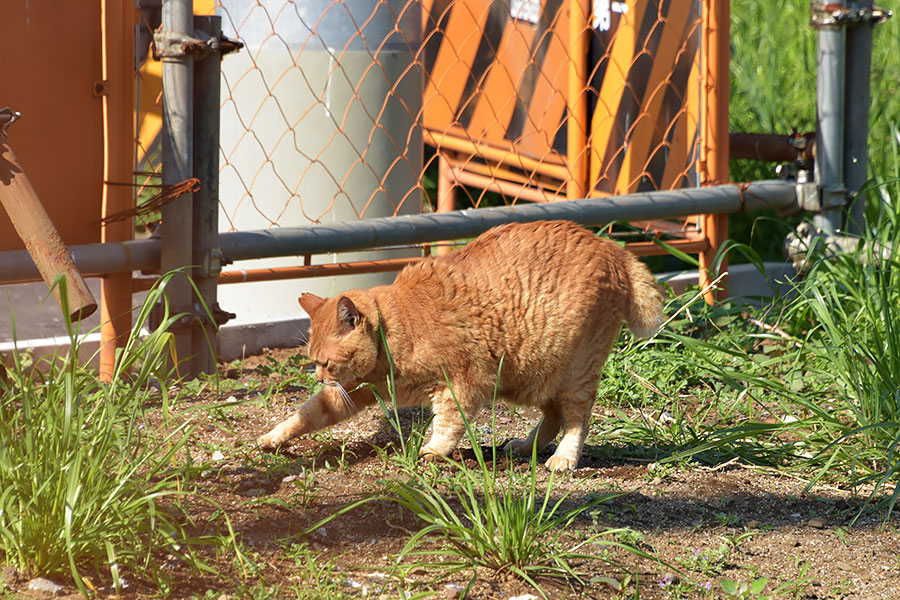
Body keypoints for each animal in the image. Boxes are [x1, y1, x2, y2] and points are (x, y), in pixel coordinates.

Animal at [256, 219, 664, 468]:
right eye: (313, 361)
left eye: (325, 362)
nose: (318, 378)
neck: (396, 329)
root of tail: (611, 247)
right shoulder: (352, 391)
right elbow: (307, 414)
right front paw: (275, 437)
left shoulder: (464, 383)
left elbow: (449, 422)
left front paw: (434, 450)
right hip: (534, 374)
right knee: (553, 415)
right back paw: (524, 447)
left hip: (574, 373)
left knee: (577, 419)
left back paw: (563, 458)